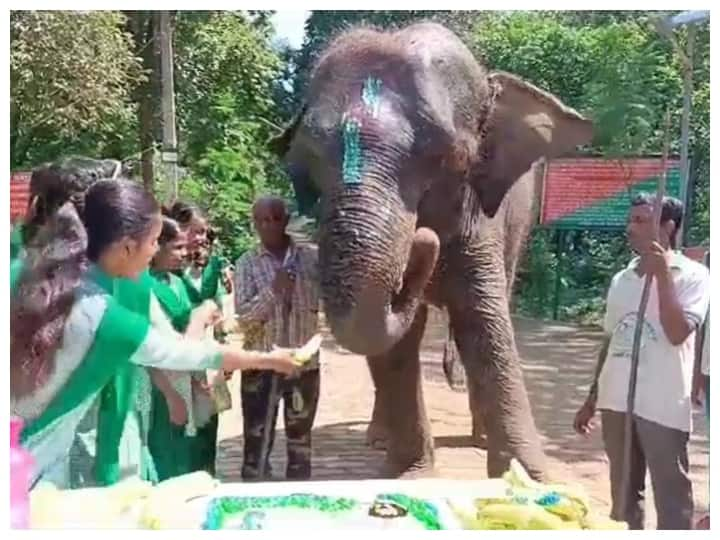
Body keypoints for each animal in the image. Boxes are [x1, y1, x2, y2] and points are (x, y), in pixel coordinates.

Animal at [270, 21, 592, 478]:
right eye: (305, 160)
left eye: (447, 157)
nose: (423, 239)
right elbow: (398, 338)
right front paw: (413, 473)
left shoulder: (484, 216)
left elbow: (484, 318)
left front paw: (530, 478)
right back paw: (379, 439)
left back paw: (476, 438)